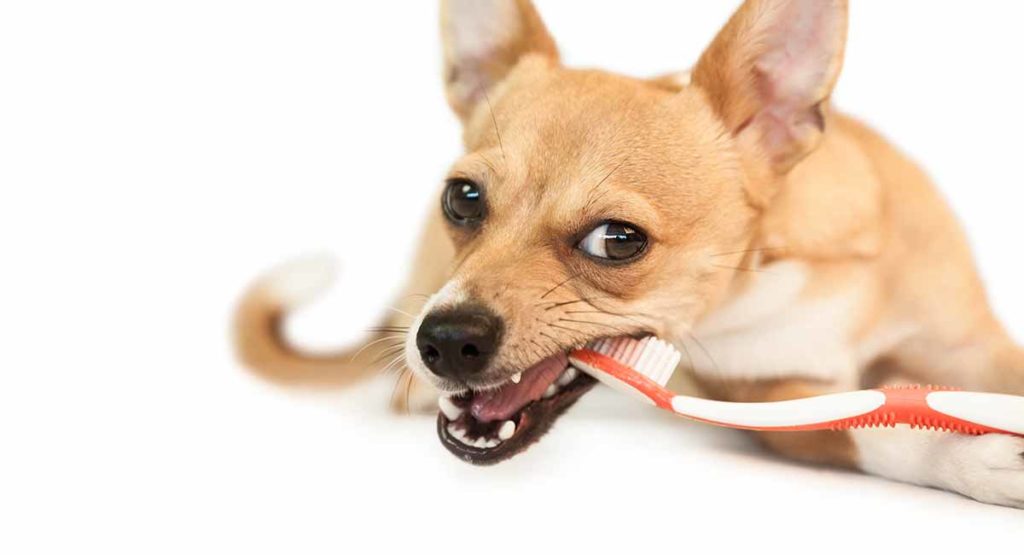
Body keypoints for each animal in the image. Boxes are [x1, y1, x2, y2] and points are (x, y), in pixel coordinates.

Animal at [234, 0, 1024, 511]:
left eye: (617, 240)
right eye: (463, 198)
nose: (445, 339)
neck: (784, 273)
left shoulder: (974, 349)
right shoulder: (768, 401)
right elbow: (871, 423)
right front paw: (974, 455)